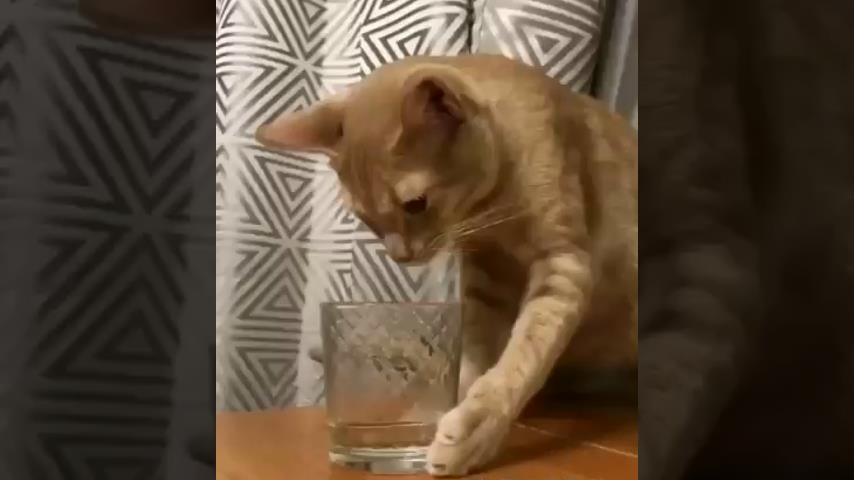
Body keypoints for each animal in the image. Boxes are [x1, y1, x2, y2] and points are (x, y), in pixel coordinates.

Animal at [257, 54, 638, 476]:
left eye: (415, 204)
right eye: (365, 218)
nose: (400, 256)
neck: (495, 210)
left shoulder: (563, 265)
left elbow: (521, 359)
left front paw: (476, 428)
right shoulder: (483, 281)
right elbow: (472, 357)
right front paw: (439, 409)